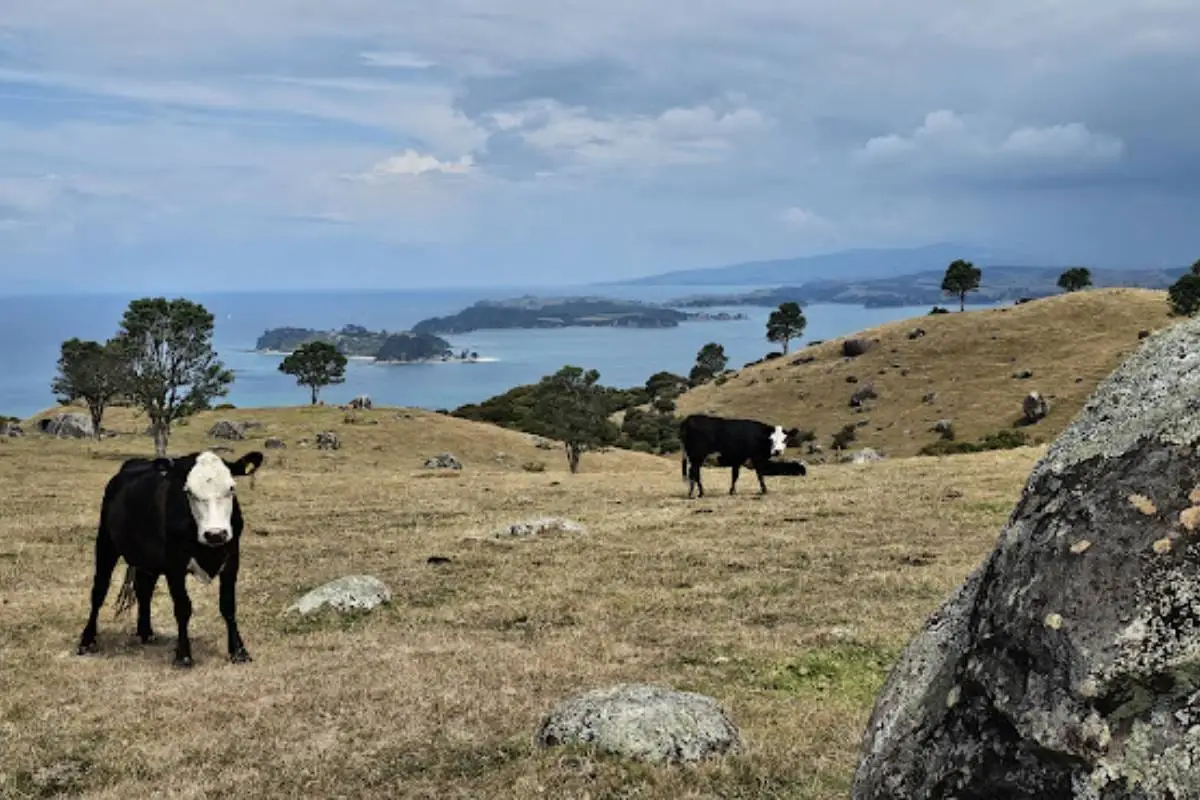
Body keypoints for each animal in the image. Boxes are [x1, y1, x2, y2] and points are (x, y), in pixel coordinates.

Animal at [75, 449, 265, 668]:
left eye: (231, 488)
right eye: (188, 491)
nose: (215, 534)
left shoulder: (232, 559)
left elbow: (228, 606)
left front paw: (239, 651)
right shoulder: (174, 566)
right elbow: (183, 607)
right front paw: (183, 655)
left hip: (147, 560)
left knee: (144, 589)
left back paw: (146, 632)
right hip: (106, 543)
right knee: (99, 591)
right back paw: (87, 641)